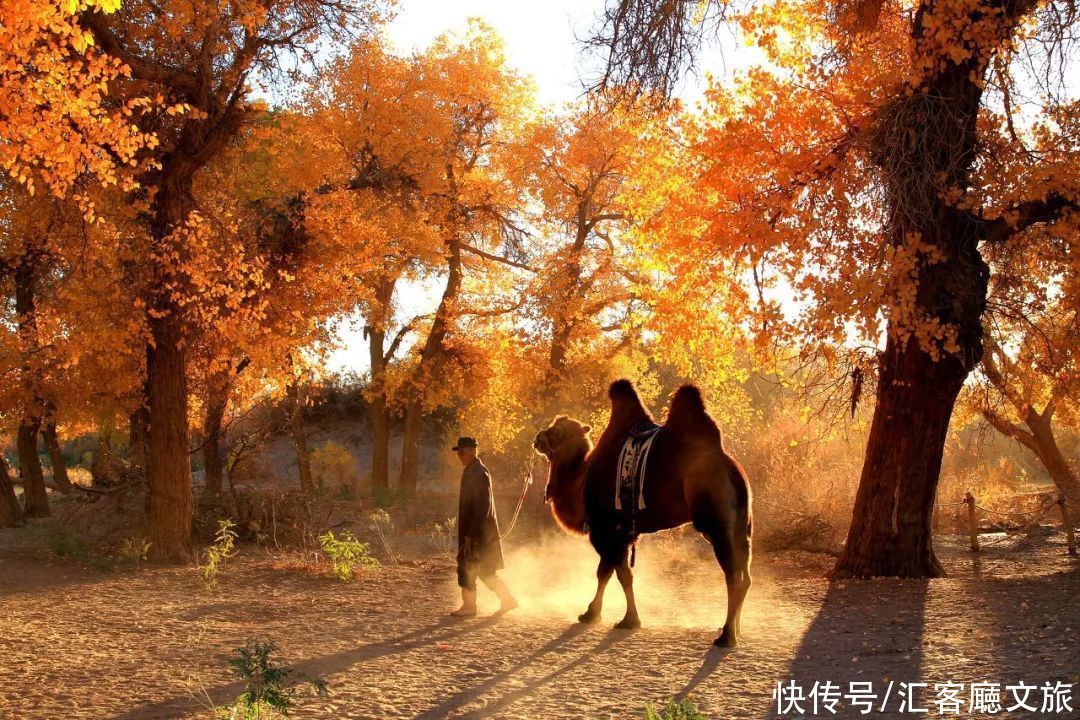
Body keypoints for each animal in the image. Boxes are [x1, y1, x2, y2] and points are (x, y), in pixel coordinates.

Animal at [535, 377, 756, 647]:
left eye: (555, 431)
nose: (537, 437)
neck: (581, 480)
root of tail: (732, 469)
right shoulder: (624, 532)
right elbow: (612, 572)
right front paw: (599, 614)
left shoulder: (606, 528)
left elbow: (615, 573)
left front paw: (620, 619)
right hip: (743, 524)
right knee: (746, 574)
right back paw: (735, 629)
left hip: (715, 520)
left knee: (733, 575)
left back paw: (726, 636)